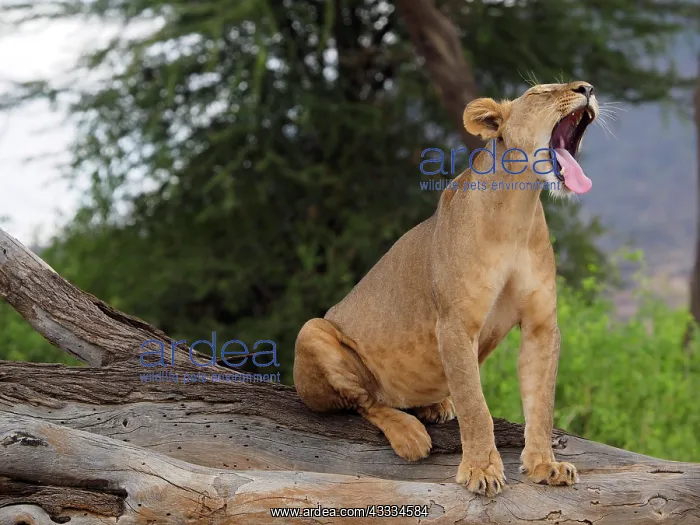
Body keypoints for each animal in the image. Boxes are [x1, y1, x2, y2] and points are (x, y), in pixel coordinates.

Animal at [293, 81, 598, 497]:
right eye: (540, 93)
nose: (588, 88)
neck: (517, 208)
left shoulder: (541, 326)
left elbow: (541, 404)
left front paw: (543, 466)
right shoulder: (455, 323)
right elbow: (475, 405)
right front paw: (481, 470)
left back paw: (434, 406)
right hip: (312, 330)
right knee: (365, 402)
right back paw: (410, 434)